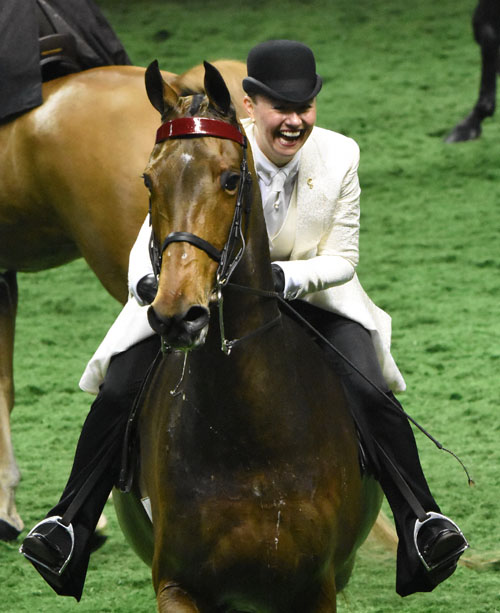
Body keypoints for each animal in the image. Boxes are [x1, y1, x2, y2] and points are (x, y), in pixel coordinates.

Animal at [113, 61, 380, 612]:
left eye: (232, 179)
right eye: (149, 180)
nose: (177, 315)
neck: (245, 433)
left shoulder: (315, 588)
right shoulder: (177, 584)